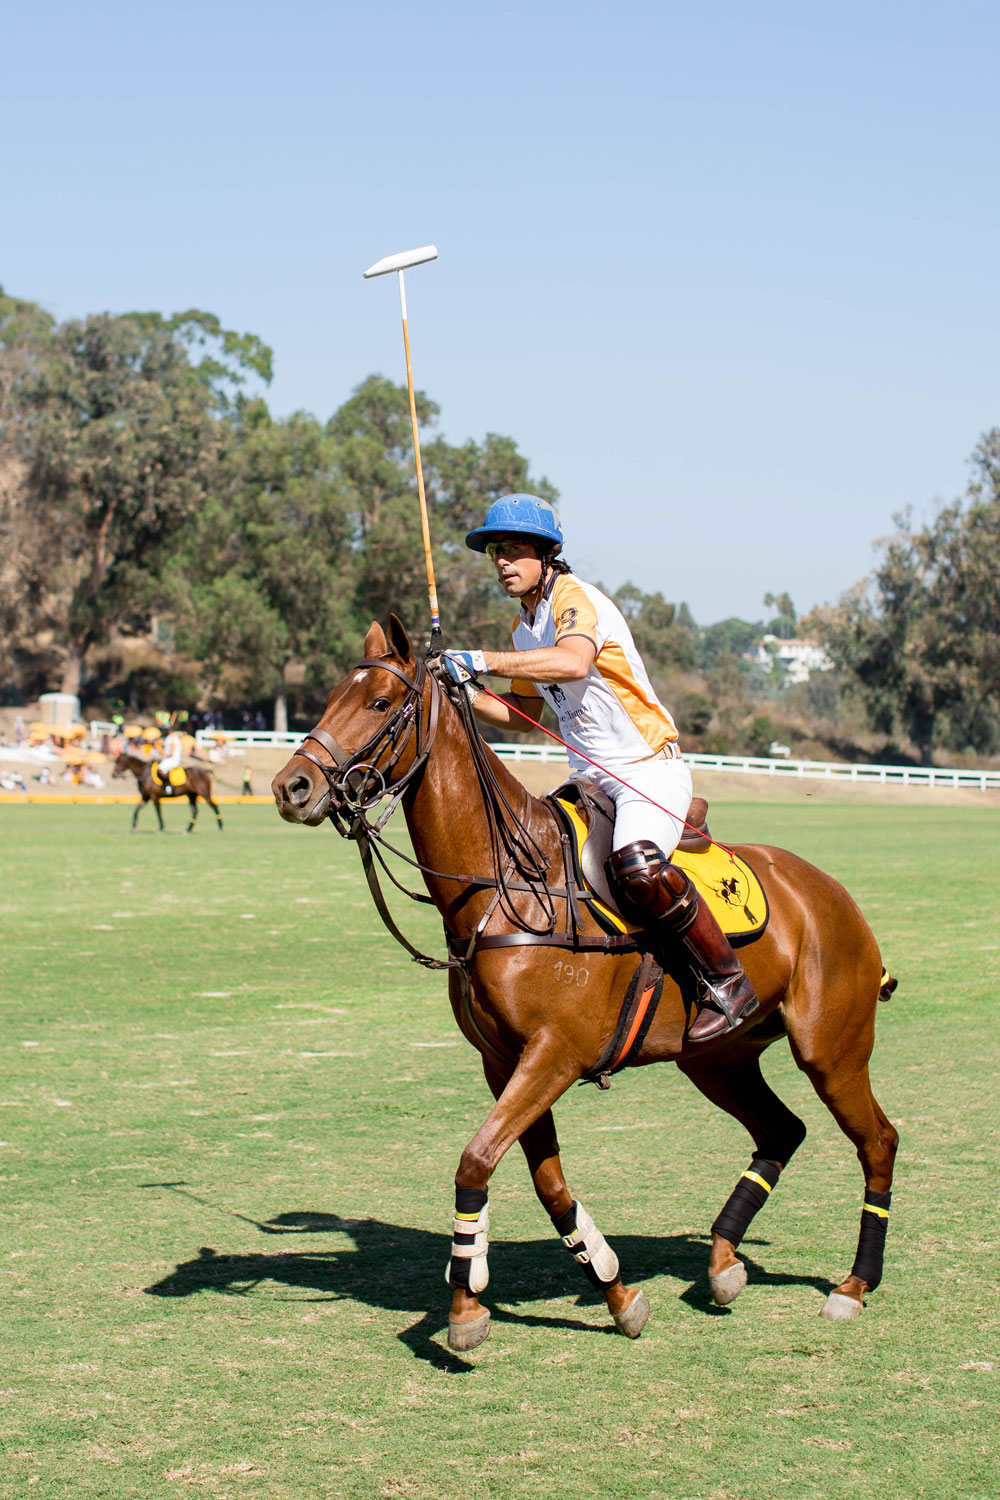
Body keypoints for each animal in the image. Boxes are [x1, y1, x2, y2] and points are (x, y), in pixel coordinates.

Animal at [269, 615, 893, 1356]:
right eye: (333, 694)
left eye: (380, 703)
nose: (290, 787)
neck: (507, 880)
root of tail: (834, 893)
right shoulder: (504, 1061)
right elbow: (546, 1185)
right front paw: (615, 1294)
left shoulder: (556, 1053)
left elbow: (475, 1161)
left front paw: (464, 1309)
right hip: (718, 1059)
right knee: (782, 1130)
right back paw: (722, 1263)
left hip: (831, 1046)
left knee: (877, 1141)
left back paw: (852, 1288)